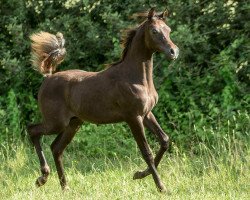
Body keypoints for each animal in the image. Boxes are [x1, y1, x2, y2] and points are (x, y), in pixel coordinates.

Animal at [28, 8, 179, 192]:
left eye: (169, 30)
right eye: (155, 31)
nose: (173, 52)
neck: (134, 78)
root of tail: (48, 77)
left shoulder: (146, 114)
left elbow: (164, 140)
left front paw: (139, 174)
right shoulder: (133, 118)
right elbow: (147, 152)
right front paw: (161, 187)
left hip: (73, 123)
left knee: (56, 148)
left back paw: (65, 187)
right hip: (56, 123)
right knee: (33, 130)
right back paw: (42, 177)